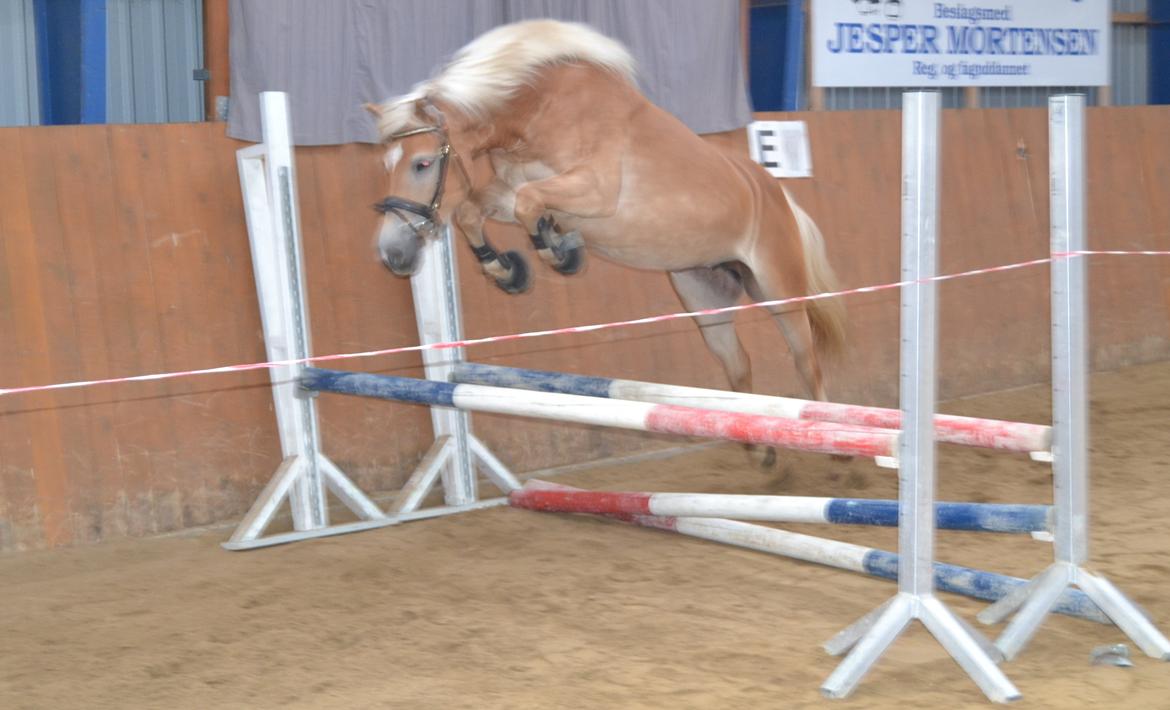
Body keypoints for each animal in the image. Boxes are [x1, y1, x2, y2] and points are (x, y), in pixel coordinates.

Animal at [365, 20, 842, 456]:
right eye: (387, 164)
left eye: (423, 164)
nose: (392, 253)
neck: (539, 110)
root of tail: (777, 194)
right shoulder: (506, 190)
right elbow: (473, 211)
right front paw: (508, 271)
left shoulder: (593, 190)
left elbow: (530, 205)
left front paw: (559, 251)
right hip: (704, 295)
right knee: (738, 364)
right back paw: (761, 452)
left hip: (779, 292)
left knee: (807, 363)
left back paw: (835, 449)